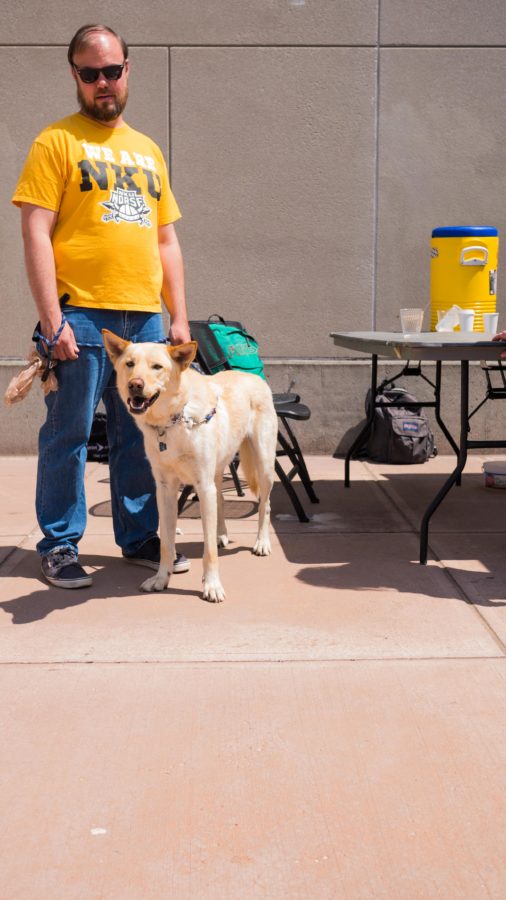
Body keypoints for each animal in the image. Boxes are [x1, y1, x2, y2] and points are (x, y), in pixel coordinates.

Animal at [102, 332, 276, 604]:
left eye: (157, 367)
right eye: (129, 364)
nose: (135, 384)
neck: (172, 422)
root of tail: (251, 376)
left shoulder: (202, 486)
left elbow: (208, 550)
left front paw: (212, 585)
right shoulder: (165, 489)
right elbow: (166, 542)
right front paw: (161, 579)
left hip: (264, 464)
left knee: (265, 504)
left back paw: (262, 542)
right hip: (218, 471)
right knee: (221, 501)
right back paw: (221, 534)